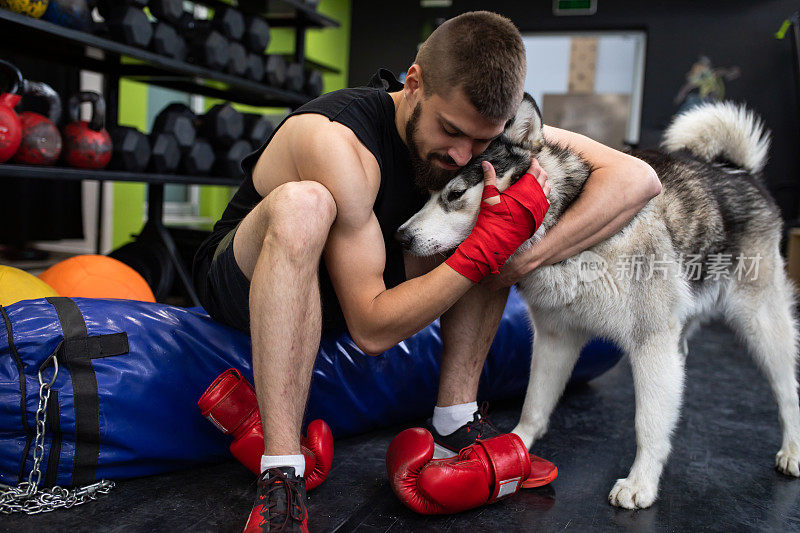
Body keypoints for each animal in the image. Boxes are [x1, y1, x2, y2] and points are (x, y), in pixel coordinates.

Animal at [400, 94, 800, 508]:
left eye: (455, 195)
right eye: (425, 195)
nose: (401, 237)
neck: (568, 231)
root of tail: (738, 170)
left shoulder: (651, 343)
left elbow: (647, 422)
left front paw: (641, 482)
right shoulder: (555, 338)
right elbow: (534, 403)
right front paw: (516, 446)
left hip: (760, 324)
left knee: (787, 392)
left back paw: (792, 450)